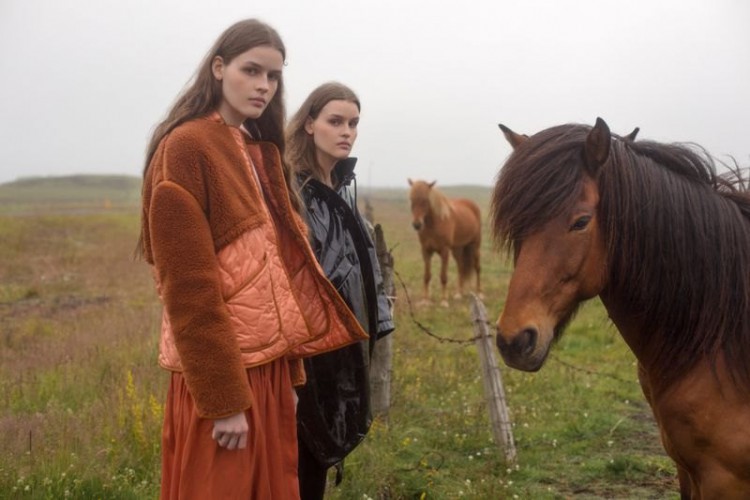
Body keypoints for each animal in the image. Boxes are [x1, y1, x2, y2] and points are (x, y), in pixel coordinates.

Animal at [491, 118, 750, 498]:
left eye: (581, 221)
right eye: (517, 224)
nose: (514, 340)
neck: (719, 340)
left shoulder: (724, 480)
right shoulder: (687, 471)